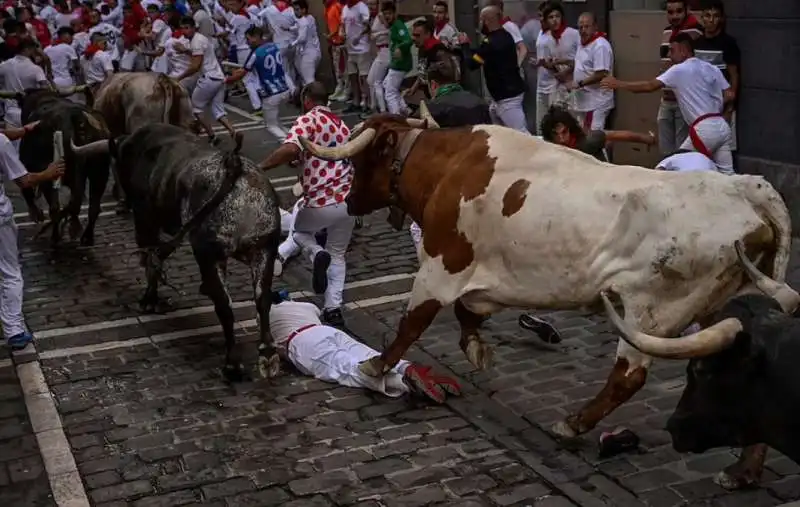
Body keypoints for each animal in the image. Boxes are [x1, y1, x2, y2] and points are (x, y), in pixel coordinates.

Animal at [15, 88, 111, 247]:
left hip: (52, 173)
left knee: (56, 207)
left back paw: (55, 236)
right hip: (100, 169)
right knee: (92, 206)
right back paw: (85, 236)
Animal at [72, 125, 282, 382]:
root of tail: (234, 166)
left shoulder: (145, 219)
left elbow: (151, 260)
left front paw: (149, 300)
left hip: (208, 253)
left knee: (224, 305)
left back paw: (232, 365)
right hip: (264, 249)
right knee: (262, 298)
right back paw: (268, 355)